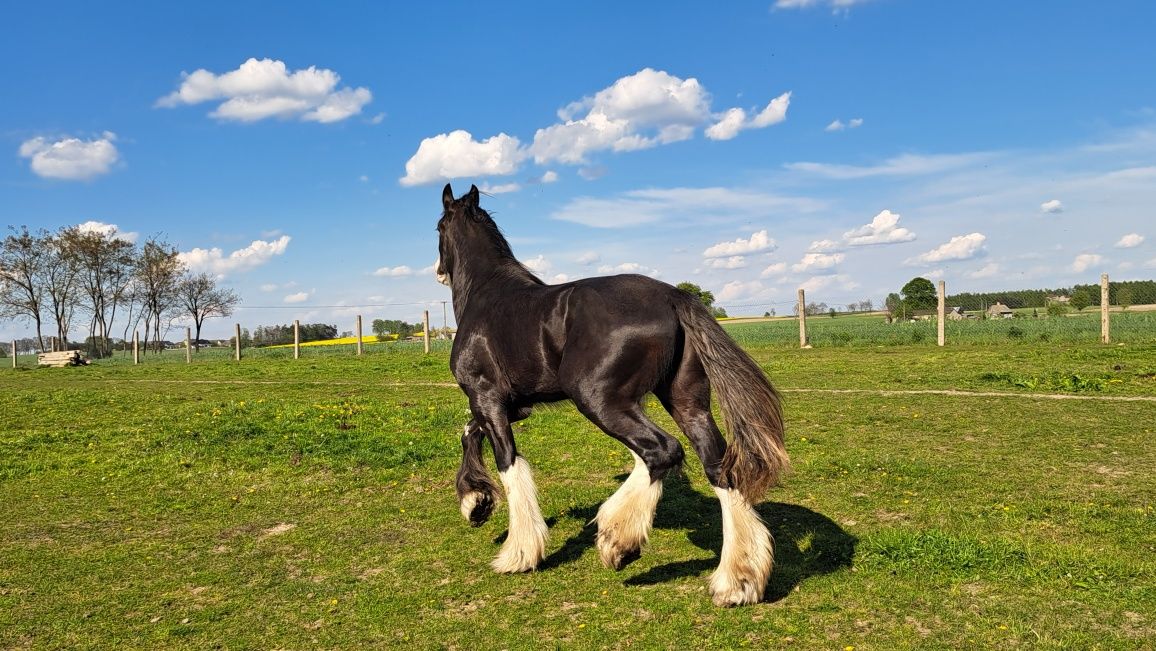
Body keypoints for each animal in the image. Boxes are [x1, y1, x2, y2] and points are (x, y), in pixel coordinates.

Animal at [436, 183, 790, 605]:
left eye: (439, 226)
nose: (438, 270)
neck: (488, 295)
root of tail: (672, 296)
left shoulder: (487, 398)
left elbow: (507, 461)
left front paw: (517, 550)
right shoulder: (512, 407)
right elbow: (468, 433)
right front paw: (475, 503)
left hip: (598, 399)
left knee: (663, 451)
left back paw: (618, 539)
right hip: (684, 402)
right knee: (716, 465)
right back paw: (737, 581)